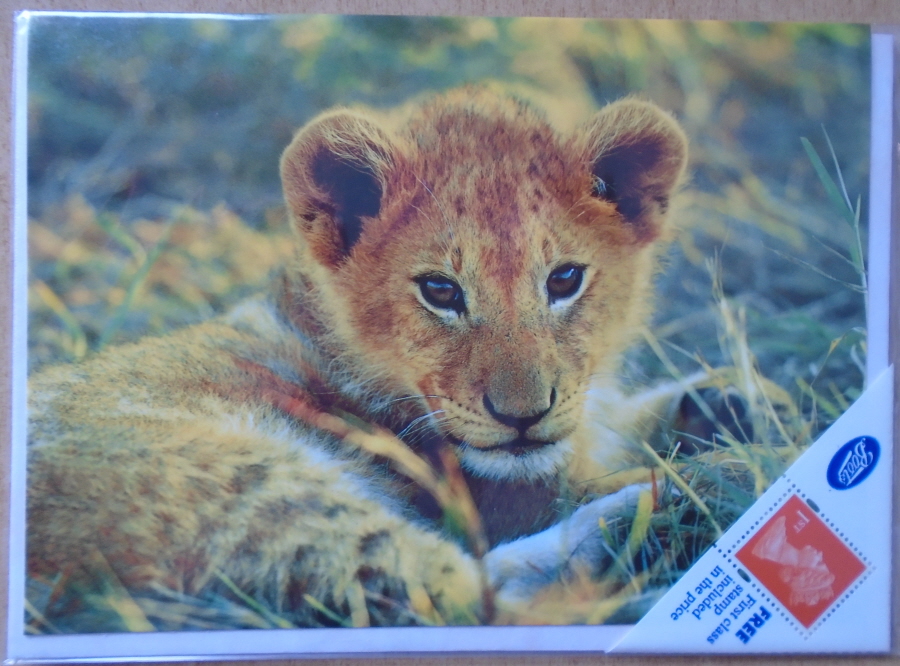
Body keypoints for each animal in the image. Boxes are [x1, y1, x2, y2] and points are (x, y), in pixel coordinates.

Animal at [27, 89, 689, 629]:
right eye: (440, 290)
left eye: (565, 280)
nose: (523, 417)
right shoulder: (503, 491)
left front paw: (705, 401)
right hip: (251, 490)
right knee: (469, 601)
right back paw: (642, 520)